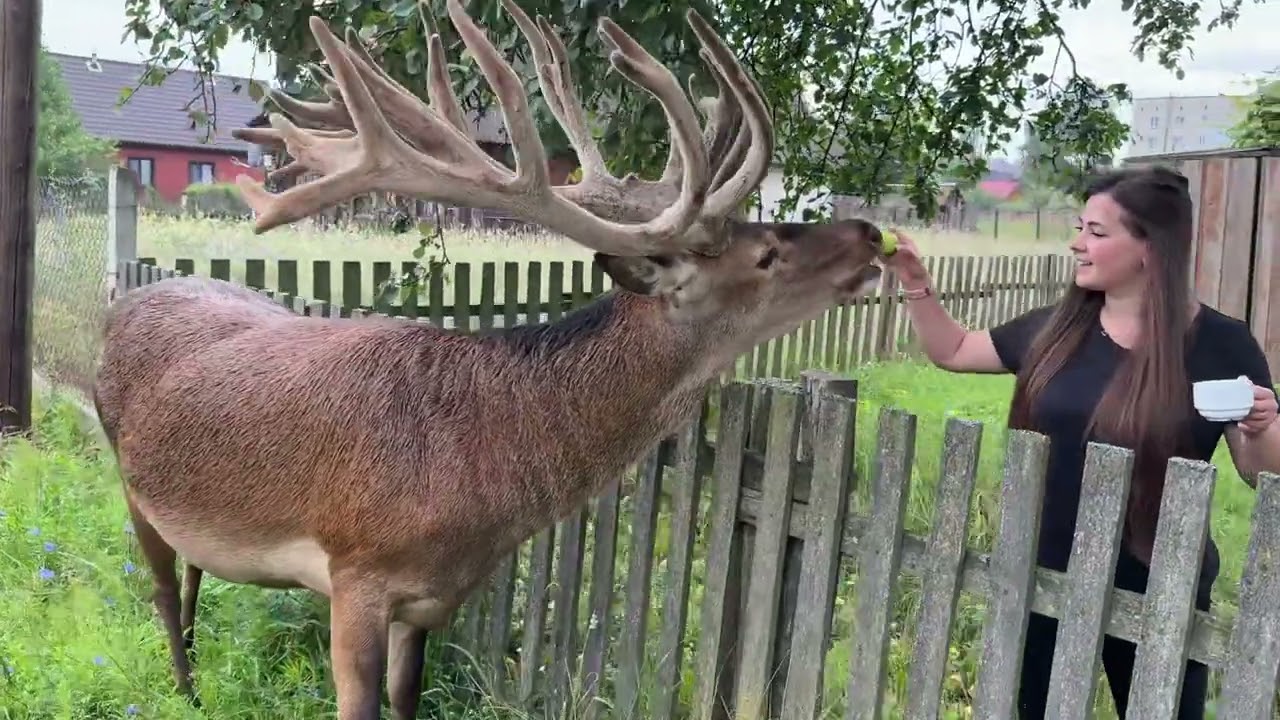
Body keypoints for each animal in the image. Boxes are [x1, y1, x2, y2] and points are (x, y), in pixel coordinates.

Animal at [90, 1, 888, 718]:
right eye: (767, 253)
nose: (872, 233)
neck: (481, 479)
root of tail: (124, 300)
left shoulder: (431, 599)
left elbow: (406, 701)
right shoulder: (355, 572)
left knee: (193, 572)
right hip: (126, 477)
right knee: (160, 587)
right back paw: (187, 689)